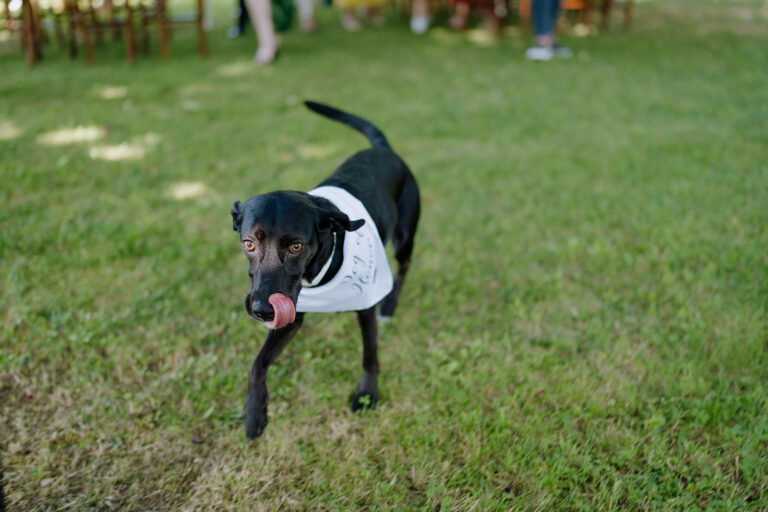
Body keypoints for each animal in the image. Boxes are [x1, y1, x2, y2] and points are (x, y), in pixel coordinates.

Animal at [232, 102, 420, 438]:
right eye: (248, 243)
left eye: (296, 246)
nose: (261, 310)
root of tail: (383, 149)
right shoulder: (291, 315)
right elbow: (257, 364)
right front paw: (254, 411)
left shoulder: (364, 308)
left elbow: (370, 356)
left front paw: (367, 395)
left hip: (404, 237)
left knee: (404, 267)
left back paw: (390, 306)